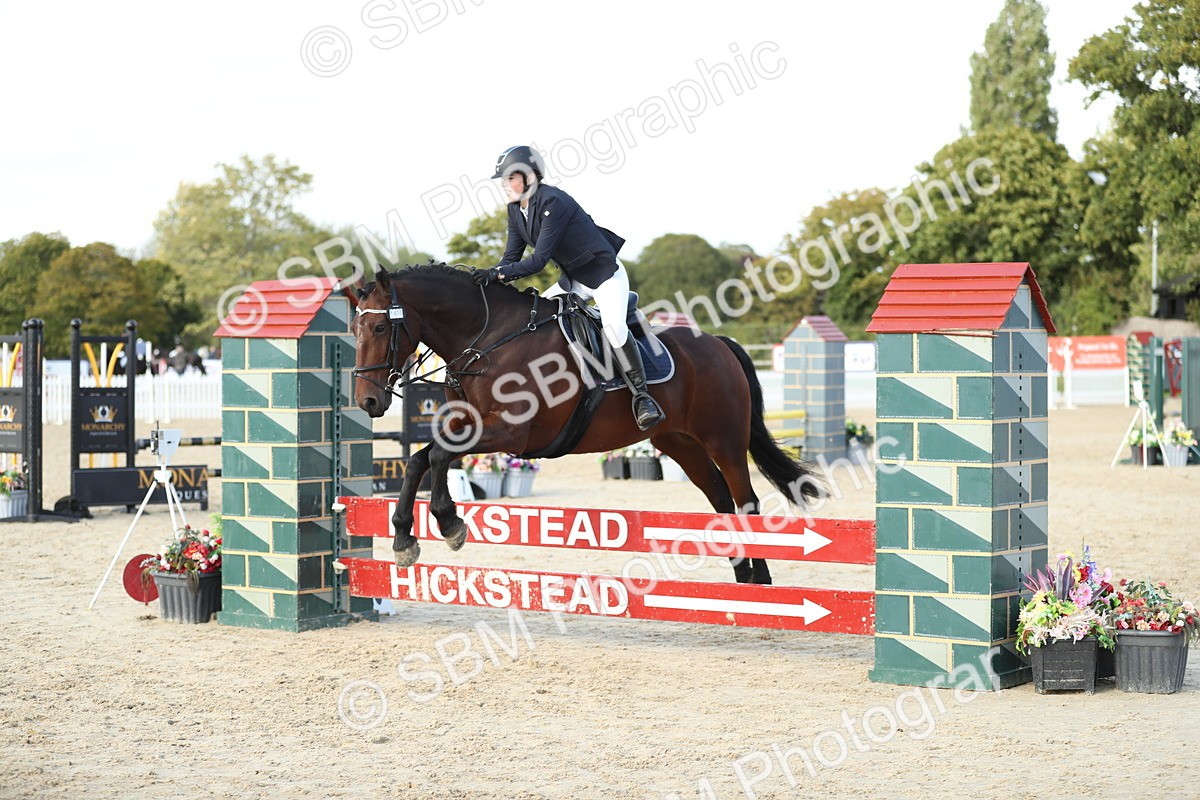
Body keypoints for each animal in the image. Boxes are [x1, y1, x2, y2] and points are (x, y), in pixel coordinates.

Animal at [347, 264, 821, 584]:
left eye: (378, 328)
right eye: (353, 329)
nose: (367, 401)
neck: (486, 339)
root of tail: (721, 344)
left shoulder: (510, 432)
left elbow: (441, 455)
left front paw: (449, 523)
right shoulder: (470, 422)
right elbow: (422, 459)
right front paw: (405, 540)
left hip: (723, 440)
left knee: (746, 502)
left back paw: (761, 582)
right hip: (680, 444)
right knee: (722, 501)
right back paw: (743, 581)